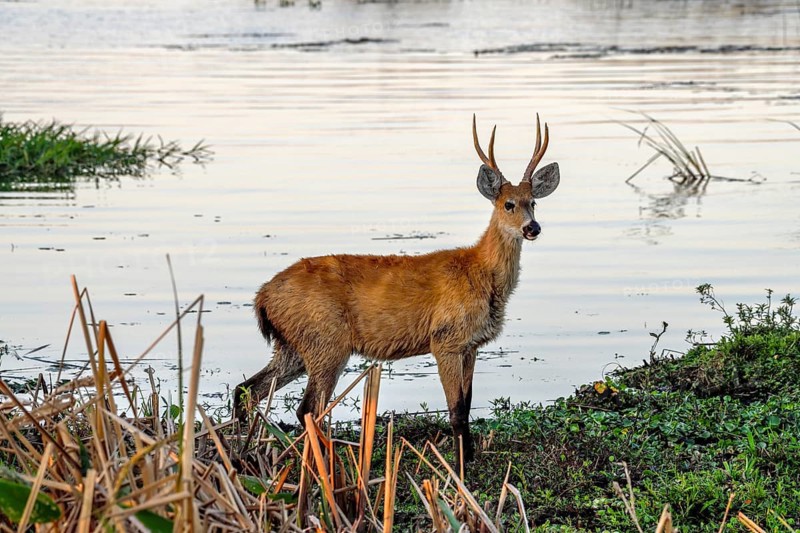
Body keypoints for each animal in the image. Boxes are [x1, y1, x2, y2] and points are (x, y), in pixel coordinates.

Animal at [234, 114, 560, 463]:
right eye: (508, 204)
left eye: (534, 202)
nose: (532, 228)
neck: (481, 275)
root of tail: (262, 298)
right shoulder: (445, 340)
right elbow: (457, 411)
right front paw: (461, 465)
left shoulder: (471, 345)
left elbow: (469, 404)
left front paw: (470, 456)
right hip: (326, 341)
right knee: (306, 408)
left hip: (293, 345)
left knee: (246, 391)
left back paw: (244, 449)